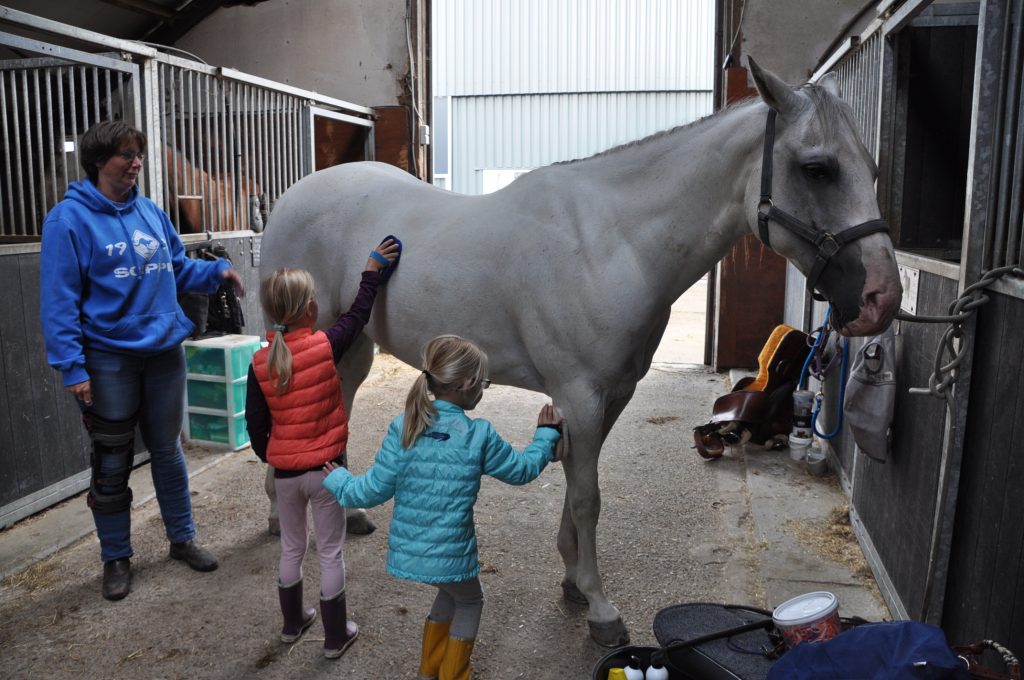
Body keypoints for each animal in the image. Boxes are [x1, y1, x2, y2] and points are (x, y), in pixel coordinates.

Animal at [258, 59, 903, 646]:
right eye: (817, 168)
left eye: (874, 169)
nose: (881, 297)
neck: (613, 241)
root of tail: (292, 196)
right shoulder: (581, 393)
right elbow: (589, 496)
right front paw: (599, 607)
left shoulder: (608, 395)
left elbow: (575, 488)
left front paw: (572, 580)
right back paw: (276, 515)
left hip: (352, 348)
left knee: (335, 409)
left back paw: (350, 513)